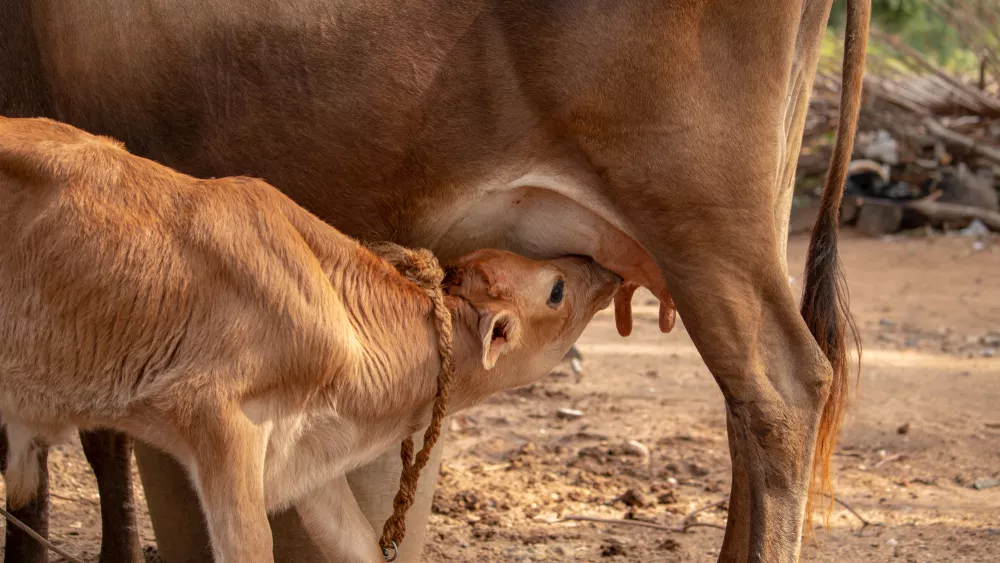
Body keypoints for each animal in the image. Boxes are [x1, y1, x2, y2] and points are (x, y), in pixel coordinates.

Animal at [0, 115, 620, 563]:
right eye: (557, 289)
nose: (605, 271)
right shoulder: (218, 421)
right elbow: (253, 548)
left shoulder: (304, 457)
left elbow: (357, 543)